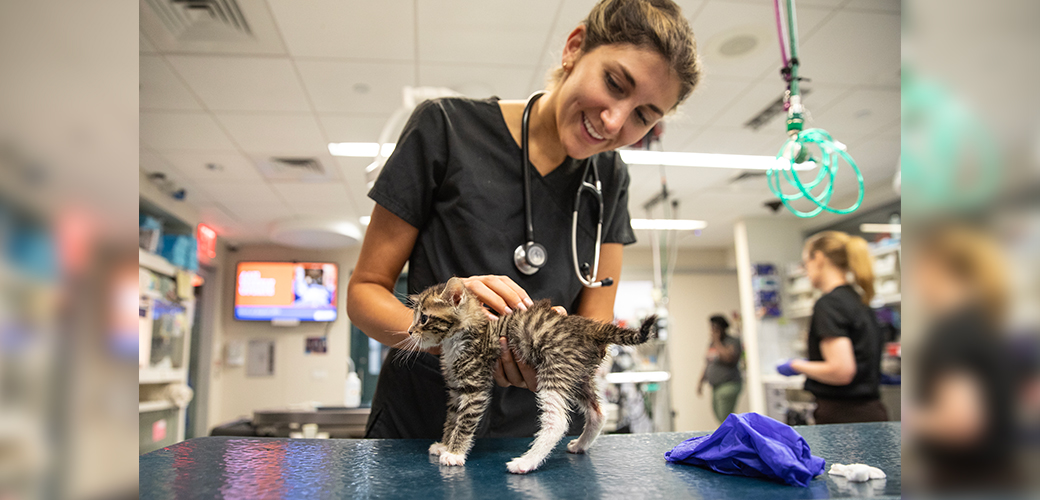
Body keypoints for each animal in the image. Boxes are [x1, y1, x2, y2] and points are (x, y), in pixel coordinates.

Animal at [401, 276, 653, 476]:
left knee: (557, 421)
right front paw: (444, 445)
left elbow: (464, 421)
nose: (409, 331)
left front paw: (454, 453)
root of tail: (588, 327)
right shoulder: (455, 388)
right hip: (577, 374)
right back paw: (581, 444)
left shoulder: (475, 386)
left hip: (555, 368)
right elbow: (452, 417)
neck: (459, 339)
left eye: (423, 318)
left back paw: (526, 462)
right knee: (598, 413)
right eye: (414, 317)